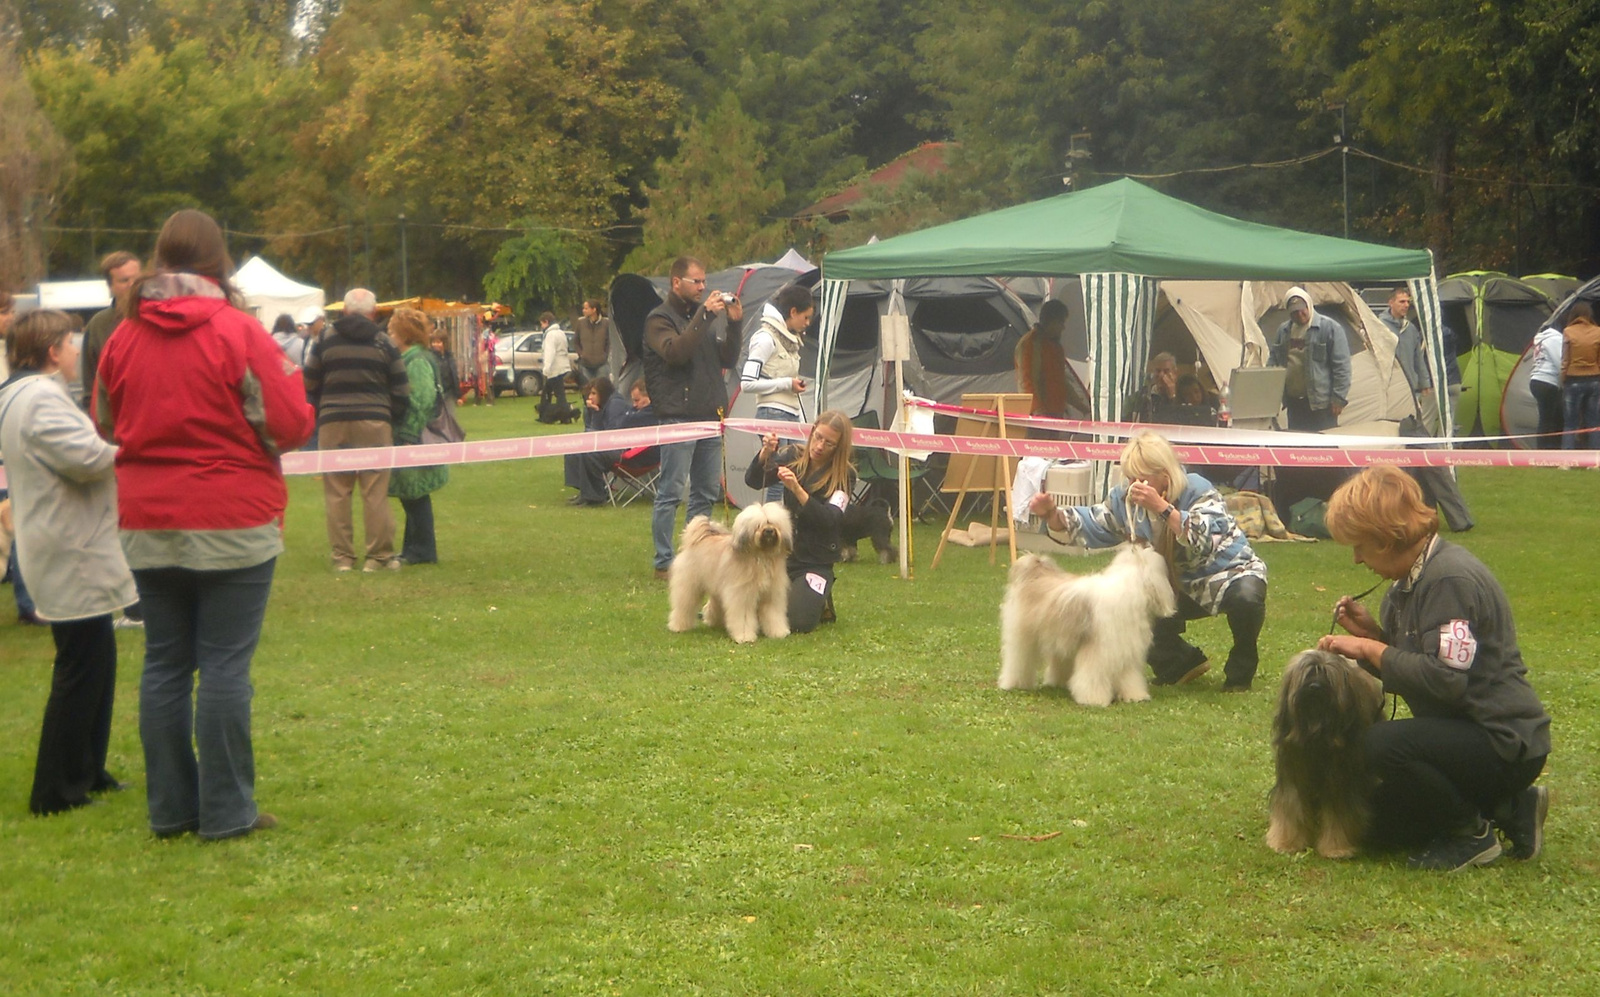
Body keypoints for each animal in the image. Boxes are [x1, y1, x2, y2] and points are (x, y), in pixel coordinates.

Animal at [662, 502, 793, 643]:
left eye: (773, 523)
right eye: (758, 525)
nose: (769, 531)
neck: (761, 556)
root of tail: (697, 540)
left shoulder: (771, 595)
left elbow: (773, 614)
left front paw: (778, 632)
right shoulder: (742, 595)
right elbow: (743, 617)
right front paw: (744, 636)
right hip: (688, 587)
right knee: (684, 606)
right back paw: (678, 626)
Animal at [998, 547, 1177, 710]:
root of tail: (1036, 572)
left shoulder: (1126, 654)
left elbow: (1130, 678)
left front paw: (1135, 696)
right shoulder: (1098, 653)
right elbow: (1093, 676)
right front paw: (1094, 699)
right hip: (1022, 636)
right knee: (1019, 659)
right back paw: (1015, 683)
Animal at [1267, 652, 1382, 864]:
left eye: (1326, 675)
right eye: (1308, 674)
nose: (1315, 687)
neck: (1316, 733)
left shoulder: (1340, 781)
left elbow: (1339, 814)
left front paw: (1336, 848)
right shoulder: (1292, 774)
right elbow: (1290, 807)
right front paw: (1286, 843)